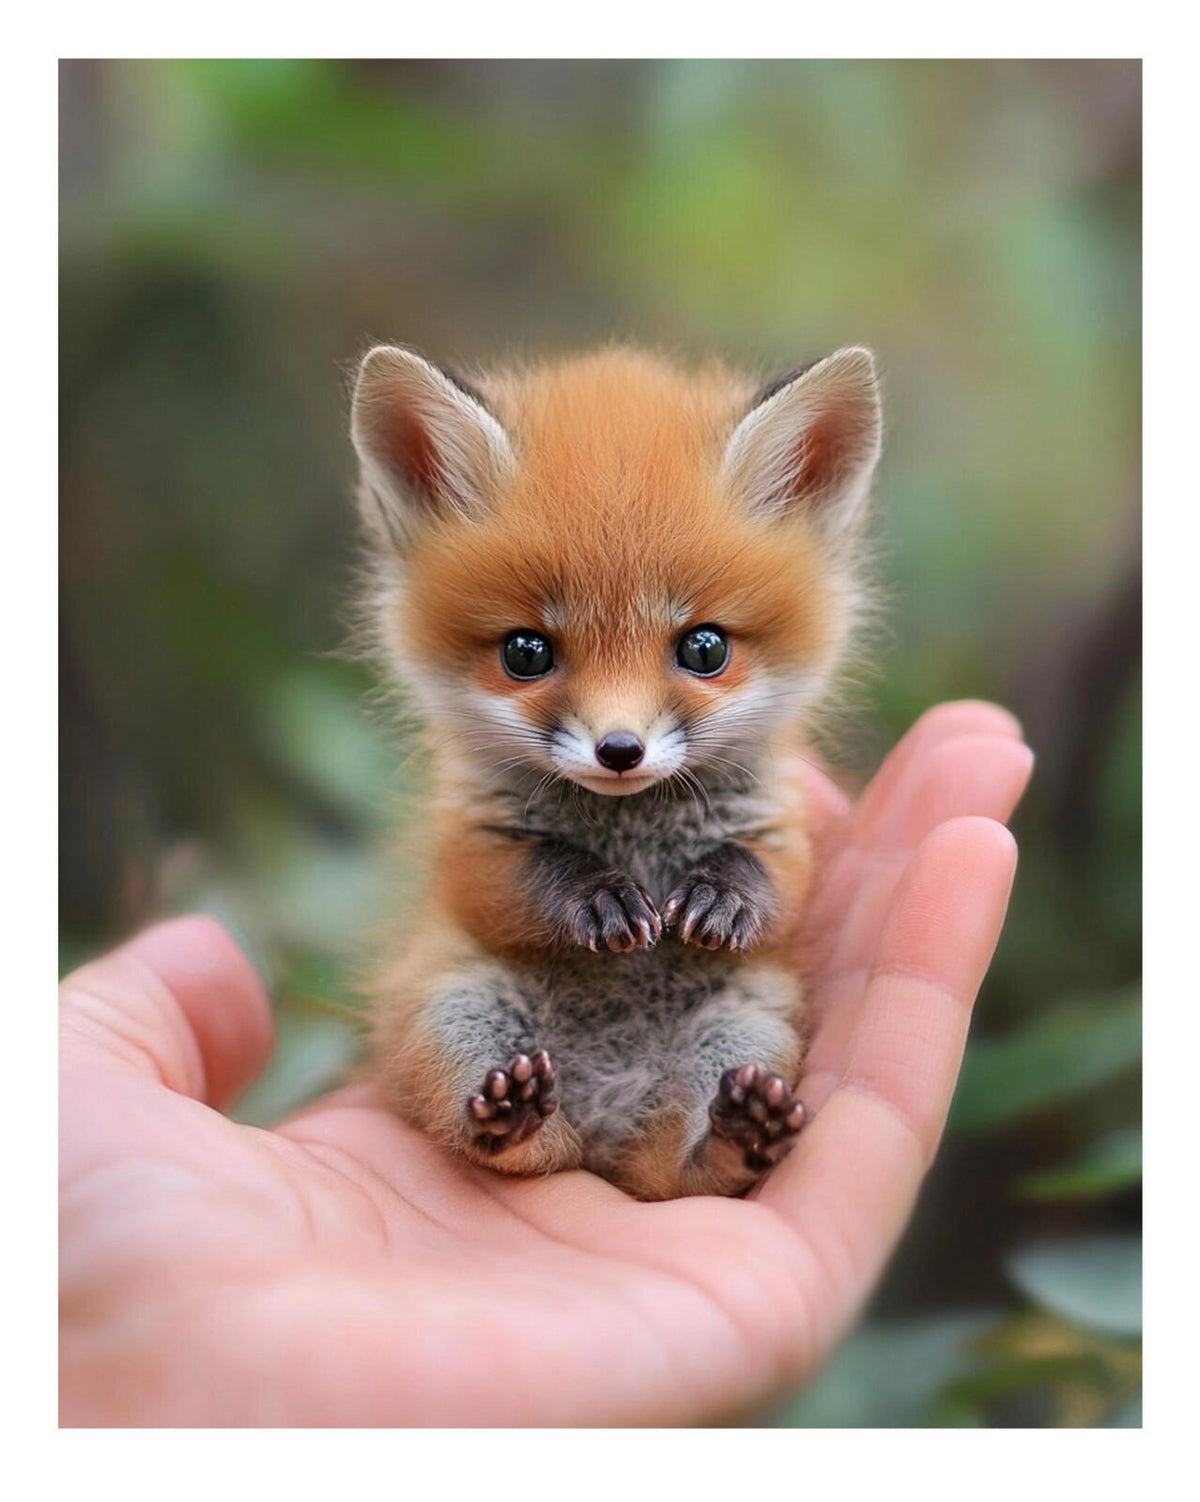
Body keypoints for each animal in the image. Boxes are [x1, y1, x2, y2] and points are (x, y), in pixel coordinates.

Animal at [349, 342, 882, 1200]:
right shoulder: (471, 844)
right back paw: (513, 1120)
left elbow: (775, 879)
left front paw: (724, 895)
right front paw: (594, 898)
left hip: (747, 1023)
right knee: (518, 1148)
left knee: (683, 1177)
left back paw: (739, 1135)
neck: (631, 828)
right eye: (525, 653)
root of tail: (606, 1128)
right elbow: (520, 874)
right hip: (458, 1009)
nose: (620, 750)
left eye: (705, 648)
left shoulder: (782, 830)